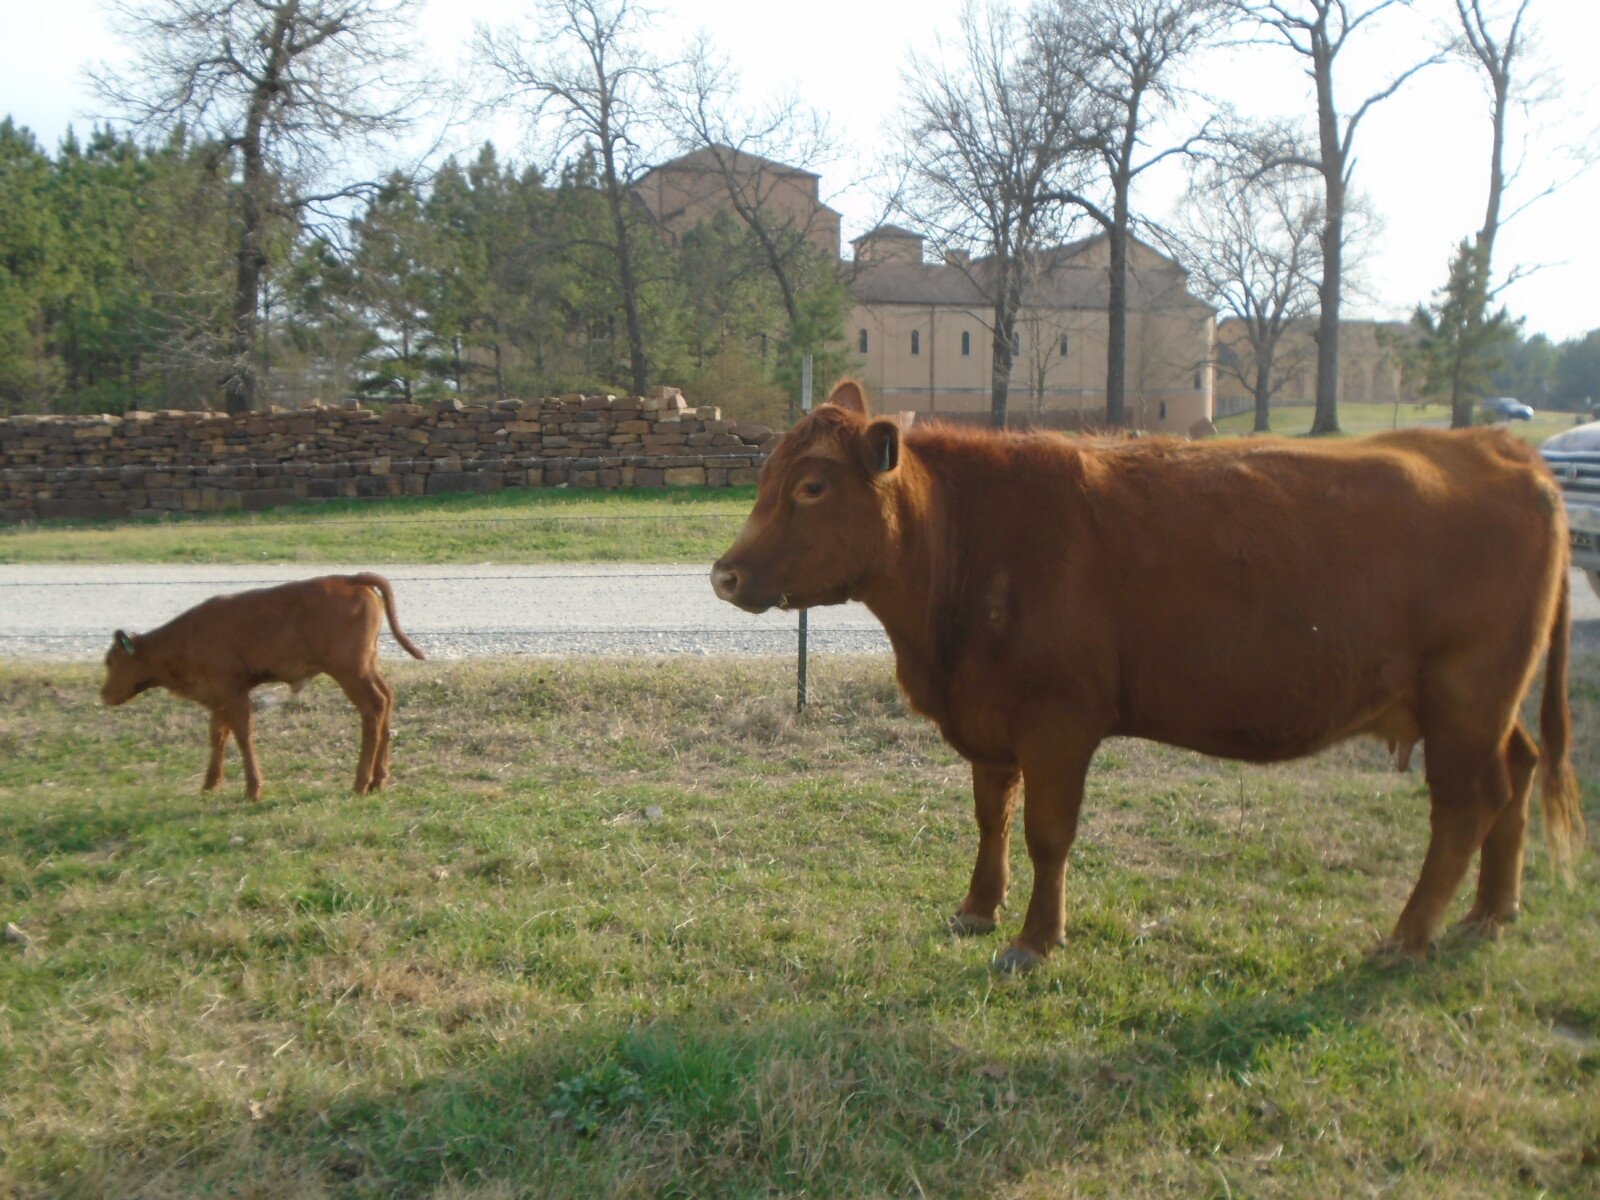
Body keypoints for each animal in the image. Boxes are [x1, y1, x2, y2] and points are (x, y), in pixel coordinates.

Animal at [101, 573, 425, 801]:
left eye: (111, 661)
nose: (104, 695)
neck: (188, 636)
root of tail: (350, 578)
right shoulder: (219, 695)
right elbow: (217, 735)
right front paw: (209, 785)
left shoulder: (233, 691)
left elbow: (243, 735)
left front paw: (253, 790)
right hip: (367, 665)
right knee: (387, 699)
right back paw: (378, 780)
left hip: (349, 671)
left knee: (374, 708)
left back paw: (360, 783)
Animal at [712, 380, 1585, 972]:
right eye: (765, 478)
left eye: (811, 487)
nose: (724, 574)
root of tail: (1498, 449)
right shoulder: (990, 721)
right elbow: (992, 818)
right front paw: (977, 909)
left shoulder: (1058, 723)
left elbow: (1047, 832)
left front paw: (1035, 940)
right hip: (1487, 703)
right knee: (1516, 774)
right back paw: (1490, 914)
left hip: (1466, 694)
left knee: (1465, 806)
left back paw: (1409, 936)